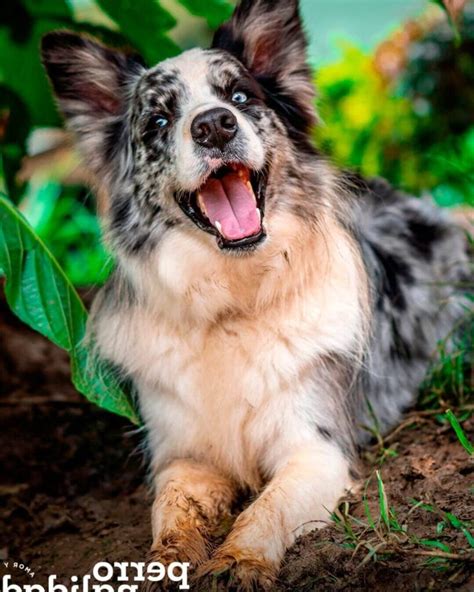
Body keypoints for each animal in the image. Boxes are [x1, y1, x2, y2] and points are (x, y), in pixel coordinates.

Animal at [40, 1, 470, 588]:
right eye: (158, 121)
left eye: (240, 97)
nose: (214, 125)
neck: (231, 304)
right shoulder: (184, 455)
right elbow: (171, 513)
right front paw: (163, 565)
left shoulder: (316, 448)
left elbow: (267, 507)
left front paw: (237, 562)